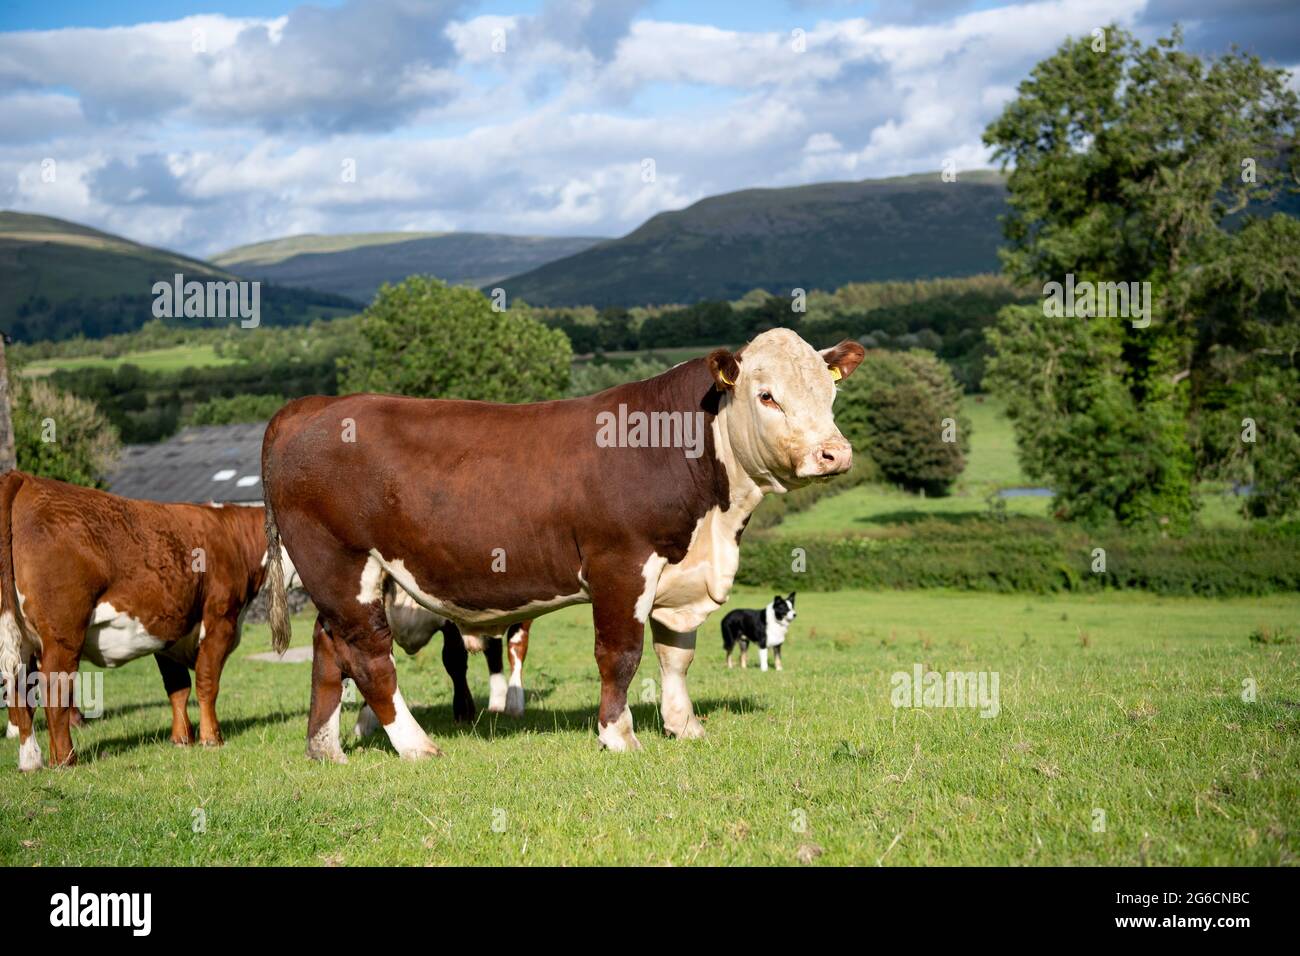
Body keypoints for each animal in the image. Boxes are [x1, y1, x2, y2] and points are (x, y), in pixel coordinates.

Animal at [0, 471, 287, 769]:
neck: (234, 538)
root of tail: (24, 478)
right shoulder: (221, 620)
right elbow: (207, 683)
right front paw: (212, 739)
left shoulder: (169, 630)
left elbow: (178, 688)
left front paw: (181, 739)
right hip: (63, 634)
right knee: (54, 689)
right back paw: (66, 760)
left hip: (22, 641)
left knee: (19, 691)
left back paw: (30, 761)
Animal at [261, 328, 864, 761]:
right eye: (767, 396)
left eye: (830, 393)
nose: (834, 453)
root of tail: (311, 406)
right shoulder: (620, 565)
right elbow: (620, 655)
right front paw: (618, 735)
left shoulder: (682, 573)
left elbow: (676, 657)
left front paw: (684, 725)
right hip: (341, 565)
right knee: (368, 656)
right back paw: (415, 746)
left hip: (347, 579)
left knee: (328, 650)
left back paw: (325, 748)